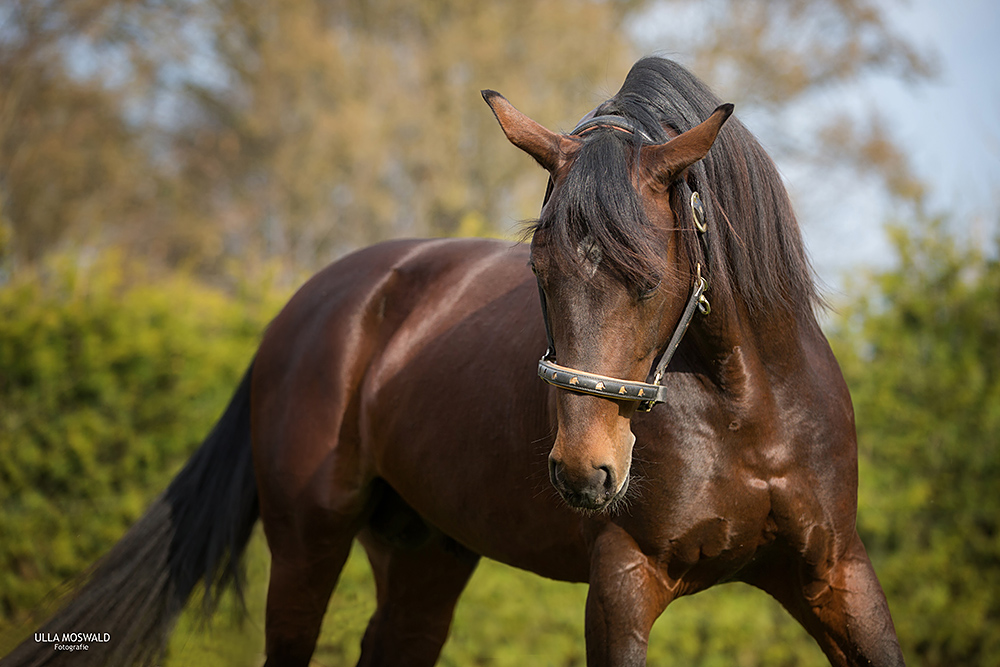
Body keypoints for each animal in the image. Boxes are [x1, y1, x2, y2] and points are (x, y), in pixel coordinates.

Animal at [1, 58, 908, 667]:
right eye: (539, 269)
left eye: (650, 277)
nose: (584, 472)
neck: (744, 409)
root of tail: (307, 307)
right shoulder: (622, 584)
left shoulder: (837, 574)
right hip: (306, 548)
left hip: (424, 555)